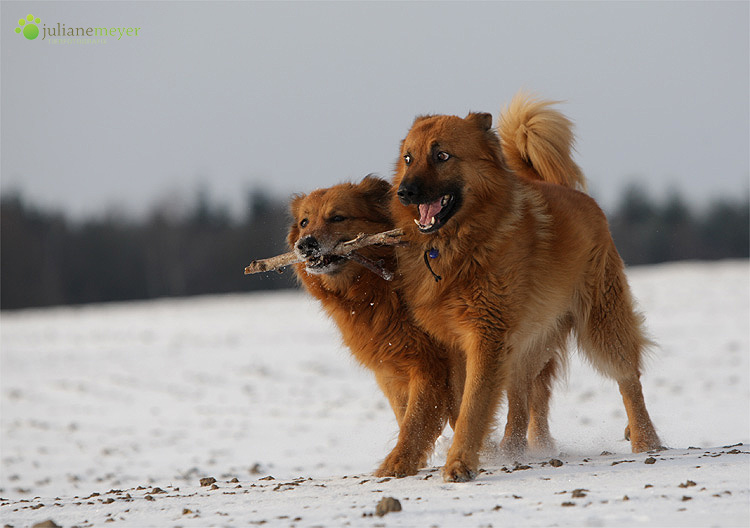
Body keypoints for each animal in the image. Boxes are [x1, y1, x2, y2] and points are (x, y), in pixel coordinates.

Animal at [288, 175, 464, 476]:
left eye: (338, 217)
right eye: (304, 222)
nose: (305, 244)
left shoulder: (431, 363)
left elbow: (418, 419)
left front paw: (397, 464)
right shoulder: (391, 368)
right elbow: (408, 415)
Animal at [394, 94, 664, 482]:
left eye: (442, 155)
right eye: (408, 158)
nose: (404, 192)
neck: (464, 244)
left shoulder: (486, 337)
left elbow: (473, 406)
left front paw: (460, 463)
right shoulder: (458, 345)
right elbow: (463, 405)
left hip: (602, 320)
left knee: (629, 378)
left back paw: (645, 439)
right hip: (529, 342)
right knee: (522, 397)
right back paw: (513, 448)